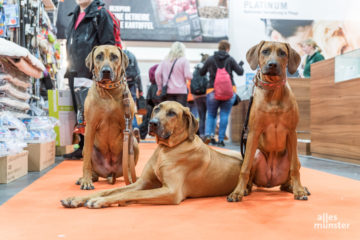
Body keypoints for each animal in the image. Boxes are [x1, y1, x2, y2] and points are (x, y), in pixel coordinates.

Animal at [60, 101, 243, 208]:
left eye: (172, 113)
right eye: (156, 109)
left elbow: (130, 193)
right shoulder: (142, 182)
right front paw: (77, 198)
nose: (152, 123)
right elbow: (112, 190)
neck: (166, 149)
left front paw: (102, 201)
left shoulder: (171, 191)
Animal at [76, 45, 139, 190]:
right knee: (91, 166)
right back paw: (86, 178)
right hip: (87, 147)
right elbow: (86, 162)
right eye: (99, 56)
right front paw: (86, 181)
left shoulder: (127, 126)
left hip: (134, 143)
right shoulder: (90, 126)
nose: (106, 71)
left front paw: (131, 180)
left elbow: (128, 159)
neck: (109, 90)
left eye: (114, 57)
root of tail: (111, 173)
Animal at [228, 41, 310, 202]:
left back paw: (295, 187)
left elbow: (294, 169)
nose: (272, 64)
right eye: (265, 51)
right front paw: (237, 192)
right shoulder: (253, 132)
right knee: (250, 174)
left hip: (294, 157)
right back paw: (245, 189)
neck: (273, 91)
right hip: (256, 154)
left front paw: (299, 190)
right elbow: (245, 168)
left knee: (288, 178)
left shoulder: (292, 132)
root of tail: (270, 181)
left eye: (282, 53)